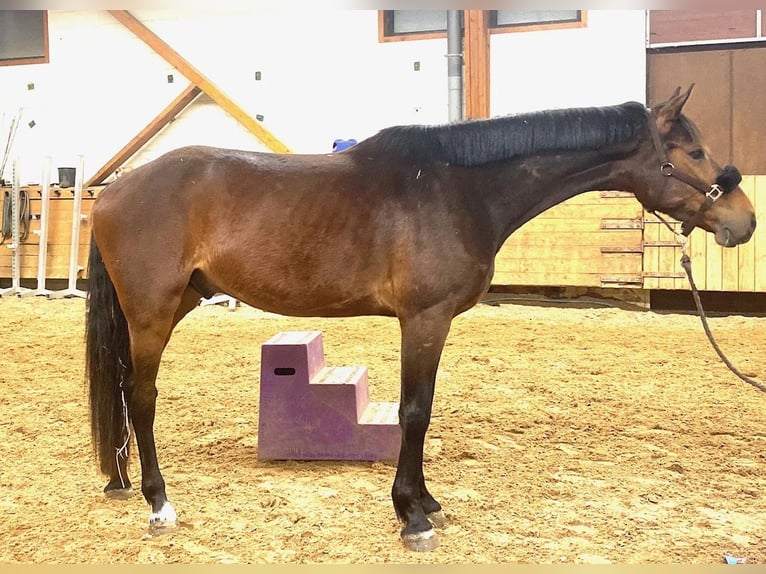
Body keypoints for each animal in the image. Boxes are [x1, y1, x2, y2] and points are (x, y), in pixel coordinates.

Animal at [85, 85, 756, 552]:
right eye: (693, 151)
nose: (744, 221)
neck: (458, 190)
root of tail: (113, 190)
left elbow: (423, 410)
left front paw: (426, 502)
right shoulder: (425, 319)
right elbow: (415, 412)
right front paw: (411, 515)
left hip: (174, 303)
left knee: (125, 390)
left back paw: (120, 480)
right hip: (153, 312)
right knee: (141, 396)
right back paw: (158, 503)